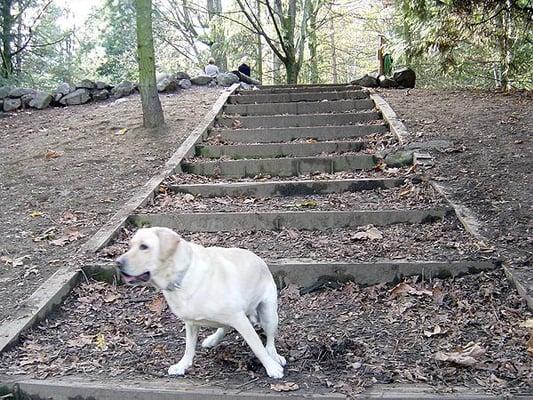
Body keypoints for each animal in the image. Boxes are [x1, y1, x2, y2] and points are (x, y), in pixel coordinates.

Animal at [115, 228, 284, 378]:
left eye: (144, 246)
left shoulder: (238, 318)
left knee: (269, 341)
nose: (117, 262)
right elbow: (189, 347)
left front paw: (271, 368)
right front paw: (182, 365)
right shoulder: (191, 323)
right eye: (130, 245)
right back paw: (213, 339)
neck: (181, 277)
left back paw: (274, 356)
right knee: (224, 327)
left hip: (268, 313)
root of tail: (261, 261)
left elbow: (257, 347)